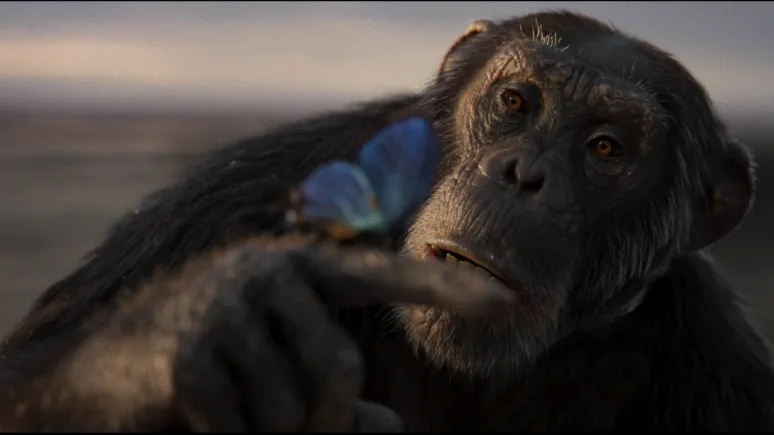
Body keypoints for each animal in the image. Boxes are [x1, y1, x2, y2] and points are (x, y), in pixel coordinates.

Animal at [1, 9, 774, 432]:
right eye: (516, 103)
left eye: (607, 147)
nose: (524, 175)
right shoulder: (246, 192)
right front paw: (203, 322)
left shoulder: (725, 367)